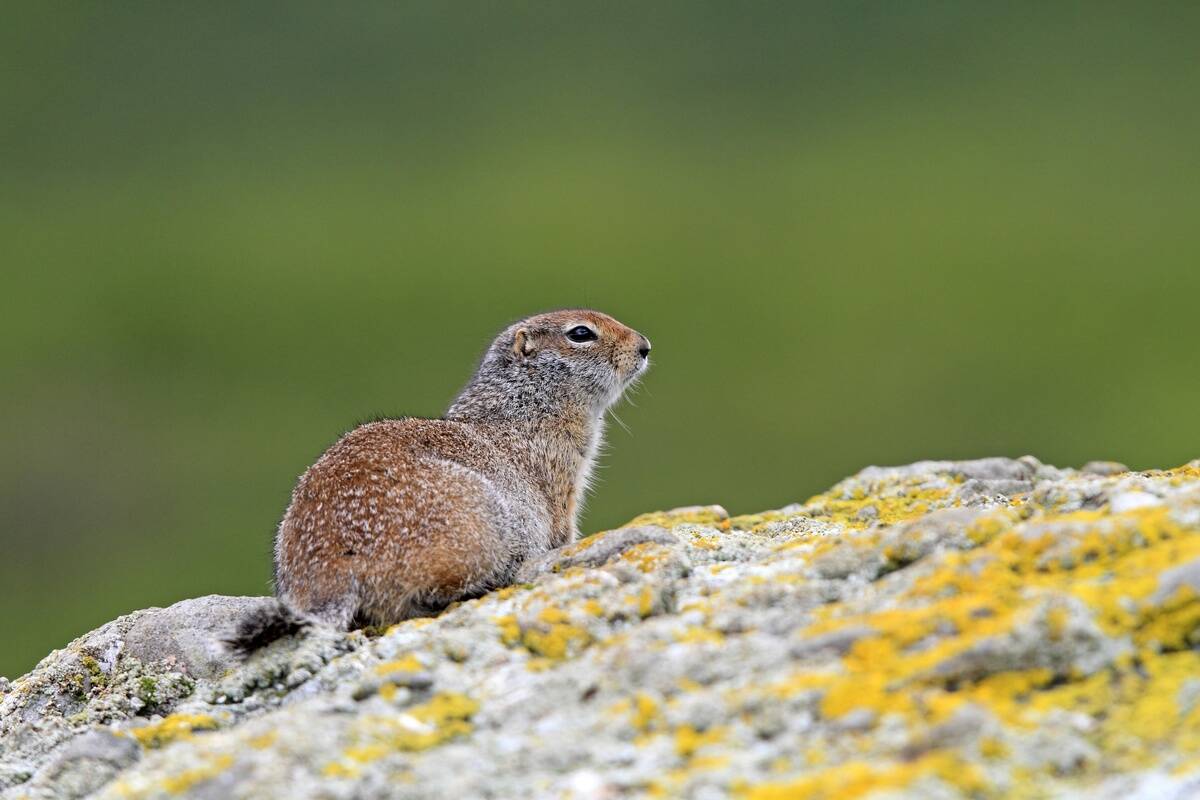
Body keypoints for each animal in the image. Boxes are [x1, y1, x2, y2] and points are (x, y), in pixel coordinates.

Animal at [227, 309, 650, 653]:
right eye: (581, 333)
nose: (645, 346)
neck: (524, 404)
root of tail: (331, 573)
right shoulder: (561, 476)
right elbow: (563, 528)